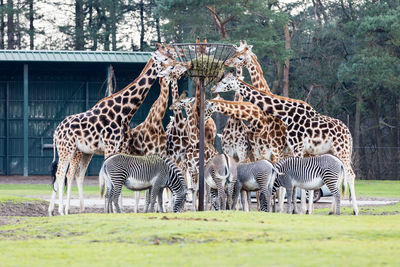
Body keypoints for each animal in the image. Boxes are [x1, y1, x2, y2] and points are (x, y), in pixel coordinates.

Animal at [48, 44, 177, 216]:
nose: (176, 64)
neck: (124, 111)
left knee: (69, 175)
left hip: (79, 151)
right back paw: (61, 210)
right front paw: (111, 211)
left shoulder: (117, 147)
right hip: (67, 149)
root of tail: (56, 132)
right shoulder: (110, 146)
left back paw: (61, 210)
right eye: (165, 58)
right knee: (61, 174)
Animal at [212, 73, 360, 216]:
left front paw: (297, 210)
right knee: (341, 175)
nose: (213, 89)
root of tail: (348, 133)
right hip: (332, 151)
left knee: (350, 174)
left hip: (342, 150)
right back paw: (331, 210)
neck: (286, 114)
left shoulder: (295, 147)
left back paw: (354, 210)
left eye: (225, 82)